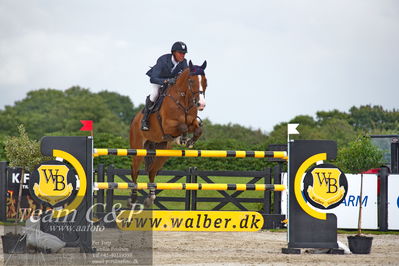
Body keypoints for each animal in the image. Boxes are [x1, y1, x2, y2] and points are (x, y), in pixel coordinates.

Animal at [129, 59, 209, 206]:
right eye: (191, 81)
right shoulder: (167, 125)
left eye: (205, 81)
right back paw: (133, 198)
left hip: (162, 150)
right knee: (135, 171)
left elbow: (198, 129)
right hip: (138, 149)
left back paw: (151, 197)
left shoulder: (192, 122)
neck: (184, 100)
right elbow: (182, 127)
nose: (201, 104)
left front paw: (189, 142)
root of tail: (134, 120)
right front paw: (183, 139)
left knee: (152, 171)